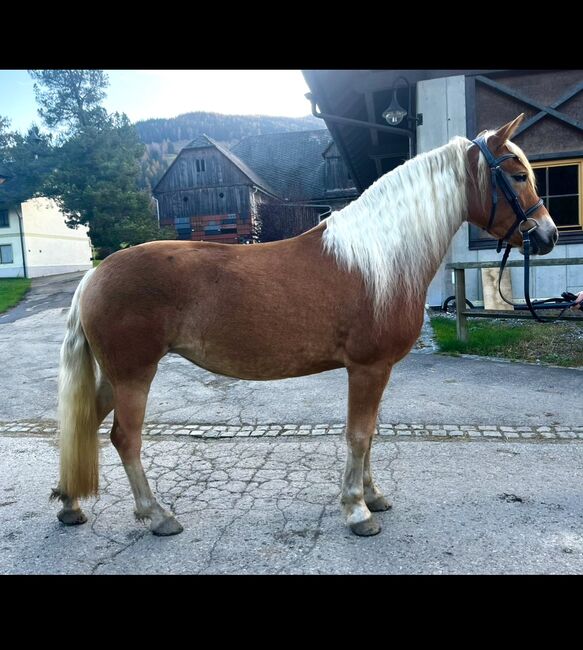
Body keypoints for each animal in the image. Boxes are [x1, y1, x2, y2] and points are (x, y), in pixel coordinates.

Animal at [52, 115, 560, 536]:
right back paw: (158, 516)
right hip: (135, 375)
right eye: (517, 176)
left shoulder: (376, 371)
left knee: (87, 422)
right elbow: (358, 434)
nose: (547, 235)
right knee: (125, 438)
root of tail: (96, 274)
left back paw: (70, 504)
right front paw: (357, 510)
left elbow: (370, 433)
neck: (382, 256)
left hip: (116, 376)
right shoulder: (367, 368)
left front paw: (372, 495)